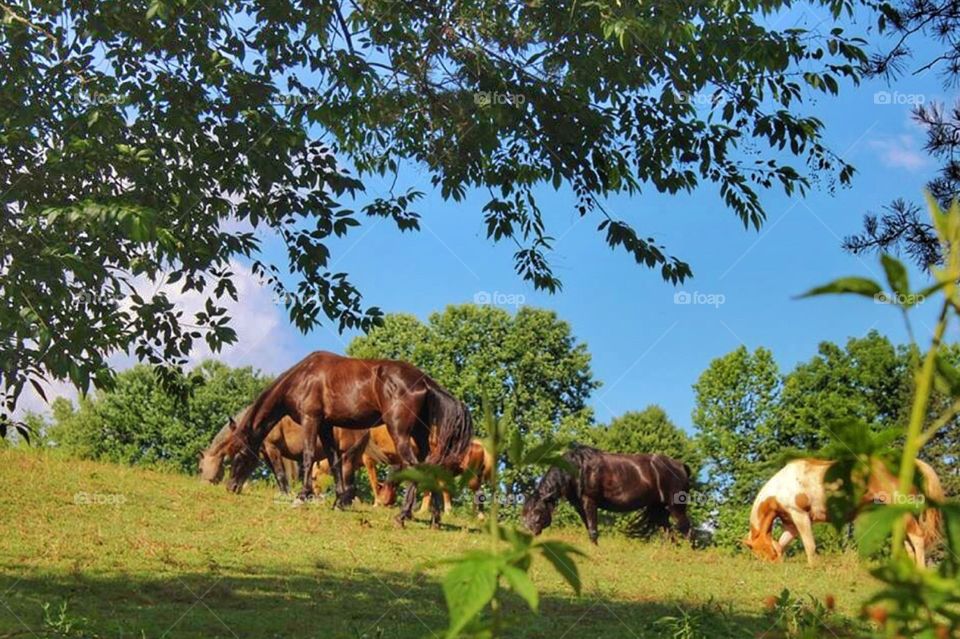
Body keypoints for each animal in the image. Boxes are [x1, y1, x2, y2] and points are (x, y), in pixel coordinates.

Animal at [220, 351, 473, 527]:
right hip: (419, 437)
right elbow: (334, 461)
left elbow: (308, 456)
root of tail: (424, 381)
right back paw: (435, 519)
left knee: (415, 467)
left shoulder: (311, 420)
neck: (303, 377)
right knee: (431, 467)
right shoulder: (326, 426)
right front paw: (339, 501)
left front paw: (302, 496)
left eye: (239, 453)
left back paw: (402, 516)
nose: (230, 487)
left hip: (400, 433)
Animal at [522, 444, 693, 544]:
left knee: (686, 528)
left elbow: (593, 531)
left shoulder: (590, 501)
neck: (577, 469)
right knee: (669, 532)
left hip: (676, 506)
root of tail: (681, 465)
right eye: (524, 513)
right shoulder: (579, 506)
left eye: (538, 511)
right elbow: (589, 529)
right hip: (660, 509)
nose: (527, 533)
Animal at [744, 458, 944, 567]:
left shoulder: (800, 515)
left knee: (917, 538)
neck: (782, 486)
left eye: (758, 550)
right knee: (909, 542)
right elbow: (782, 544)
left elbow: (809, 545)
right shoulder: (791, 524)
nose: (772, 565)